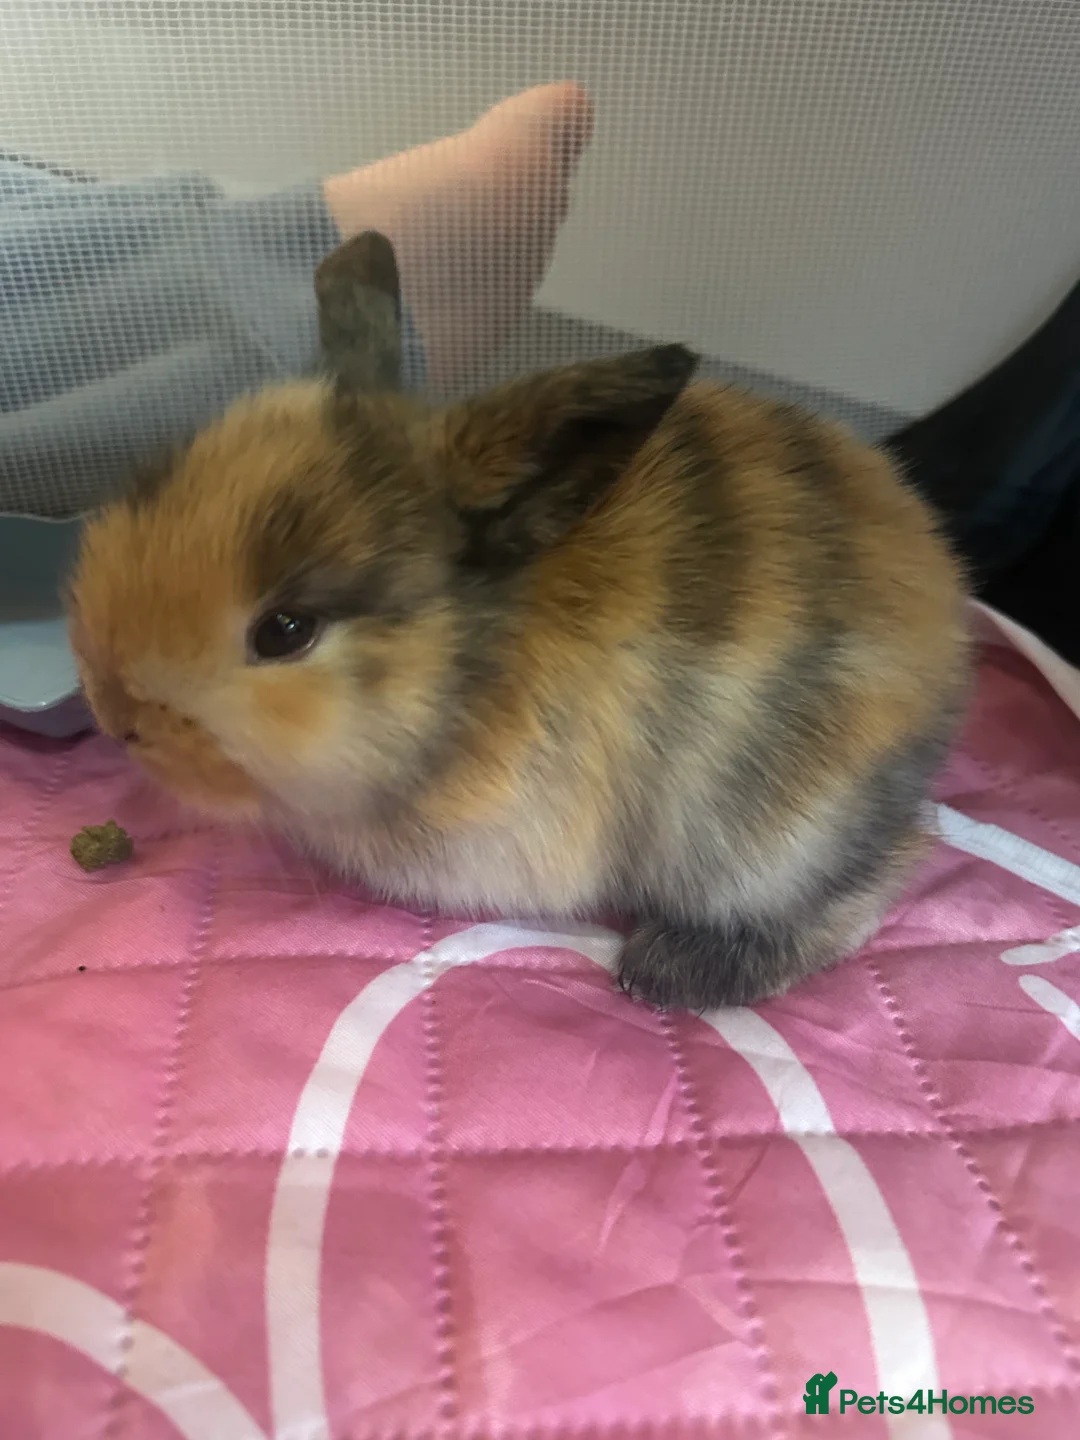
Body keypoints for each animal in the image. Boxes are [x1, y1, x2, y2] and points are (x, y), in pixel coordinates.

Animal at [67, 230, 970, 1010]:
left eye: (285, 631)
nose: (115, 716)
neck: (464, 666)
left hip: (771, 836)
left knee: (873, 882)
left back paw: (671, 971)